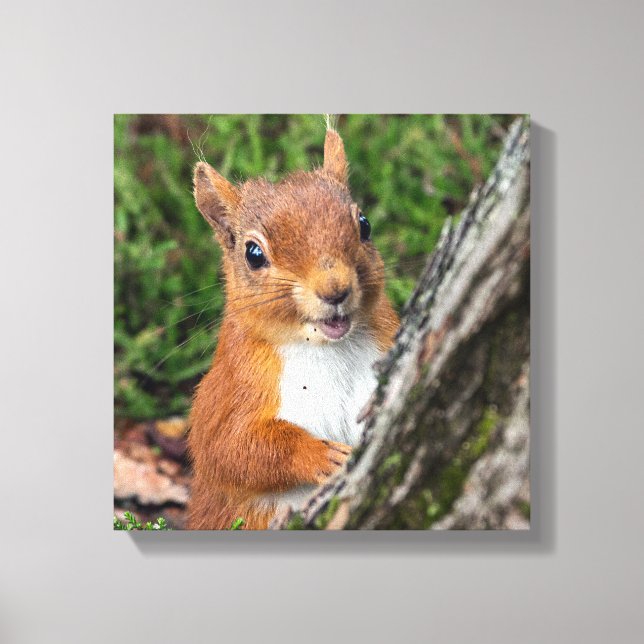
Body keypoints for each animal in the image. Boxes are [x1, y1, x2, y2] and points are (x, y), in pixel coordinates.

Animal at [187, 125, 399, 529]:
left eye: (364, 224)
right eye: (253, 254)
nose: (334, 289)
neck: (326, 349)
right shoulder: (232, 389)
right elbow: (228, 449)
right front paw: (322, 456)